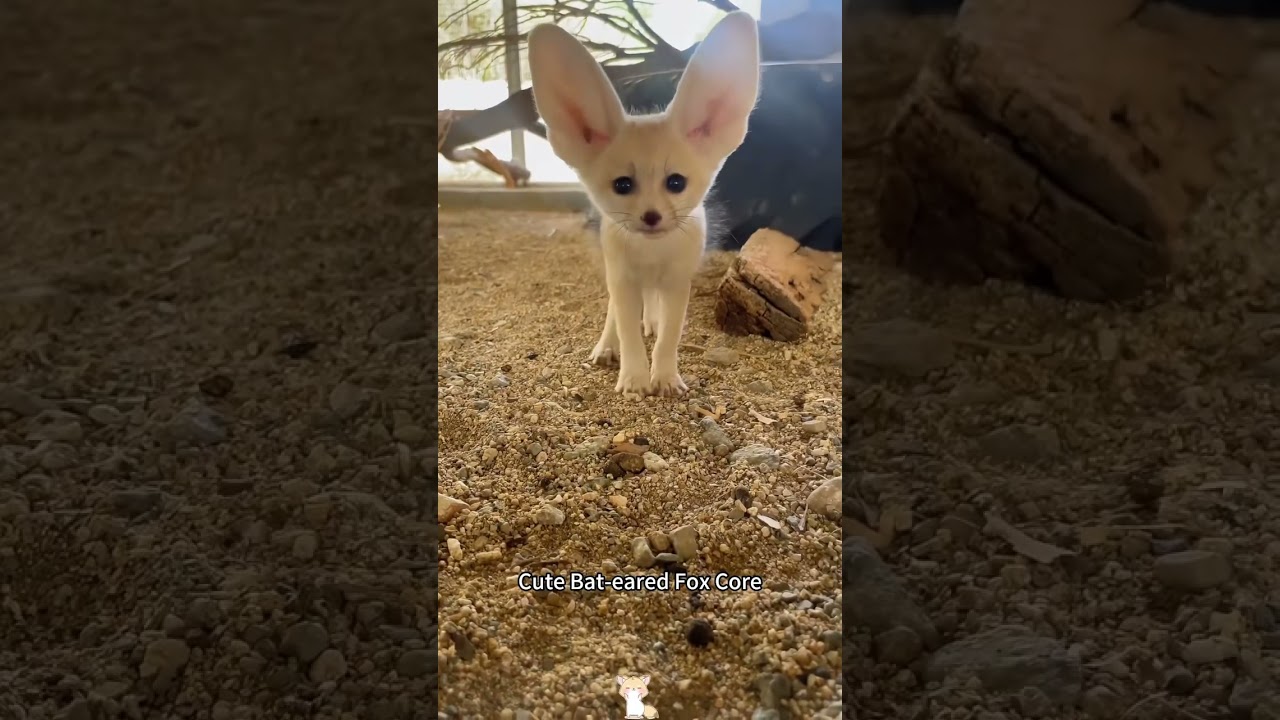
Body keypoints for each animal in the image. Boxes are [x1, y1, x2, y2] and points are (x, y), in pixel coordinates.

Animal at [527, 12, 762, 397]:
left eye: (676, 182)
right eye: (622, 185)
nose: (651, 217)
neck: (652, 254)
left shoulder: (678, 284)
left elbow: (669, 336)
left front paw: (664, 377)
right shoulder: (622, 280)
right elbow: (626, 329)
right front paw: (634, 379)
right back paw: (607, 347)